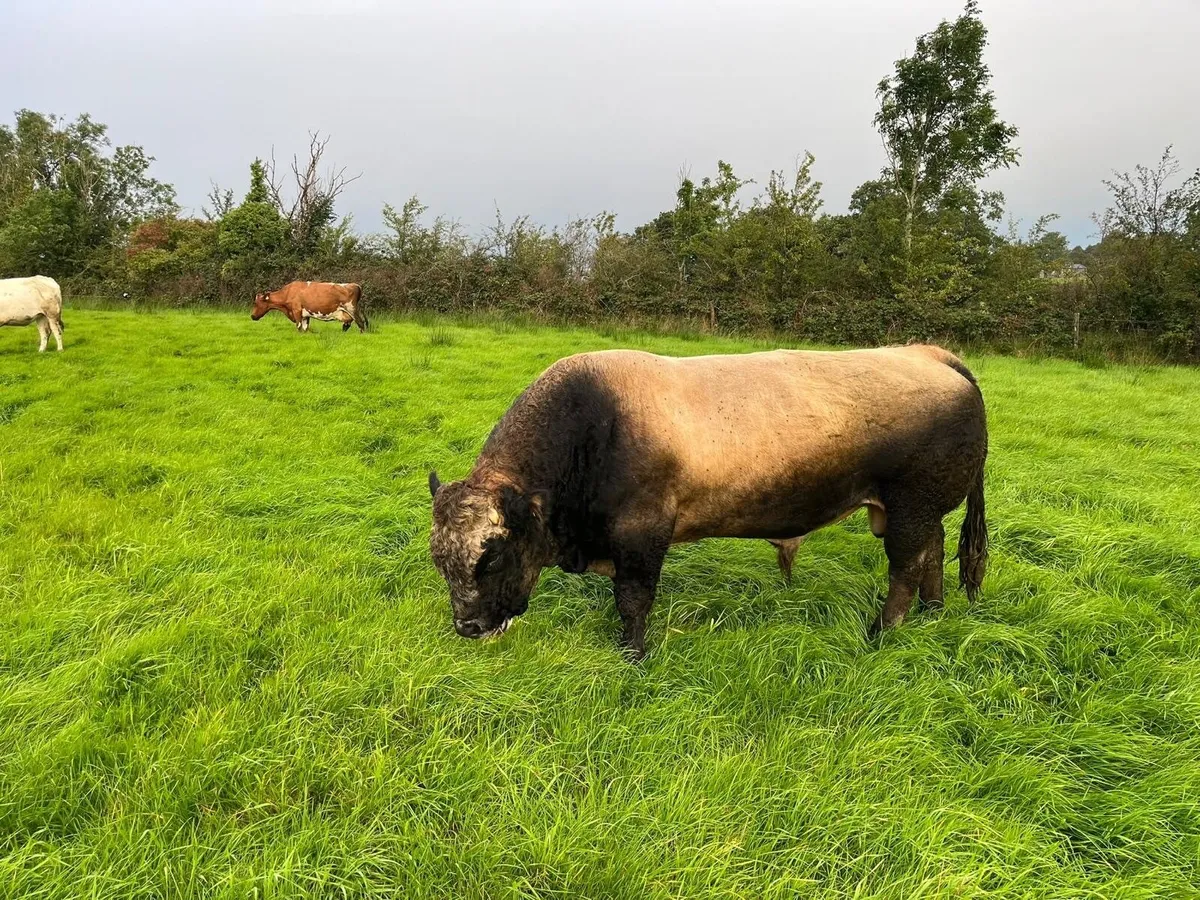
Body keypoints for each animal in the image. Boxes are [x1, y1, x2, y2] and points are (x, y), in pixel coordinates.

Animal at [429, 345, 988, 660]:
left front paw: (633, 656)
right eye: (440, 560)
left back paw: (881, 632)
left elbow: (633, 601)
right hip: (920, 509)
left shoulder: (642, 534)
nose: (467, 627)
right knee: (934, 551)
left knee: (906, 567)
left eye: (491, 555)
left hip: (910, 504)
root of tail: (927, 353)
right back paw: (933, 612)